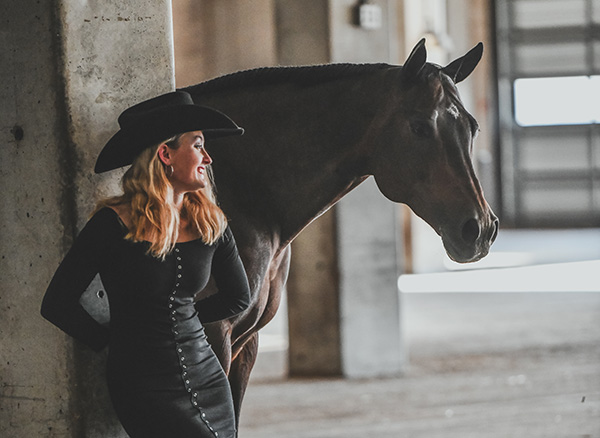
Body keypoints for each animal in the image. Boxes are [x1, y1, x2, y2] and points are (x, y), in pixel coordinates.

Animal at [180, 39, 500, 426]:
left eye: (473, 127)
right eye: (421, 127)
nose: (479, 230)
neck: (239, 191)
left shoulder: (245, 345)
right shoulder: (213, 338)